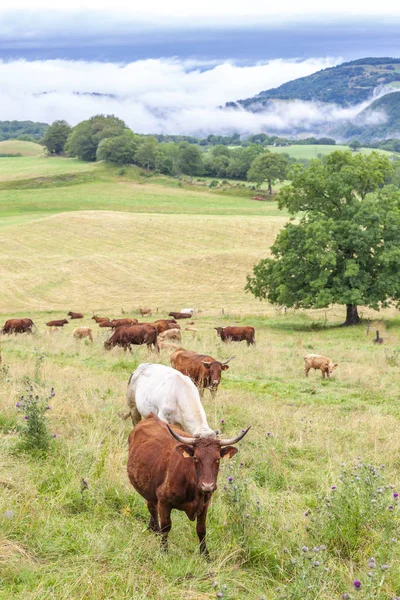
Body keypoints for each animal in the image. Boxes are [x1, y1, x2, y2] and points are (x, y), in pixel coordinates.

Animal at [126, 412, 248, 556]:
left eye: (217, 459)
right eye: (195, 458)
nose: (207, 486)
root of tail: (151, 416)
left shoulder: (204, 505)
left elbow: (201, 530)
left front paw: (205, 555)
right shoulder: (164, 501)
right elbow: (166, 527)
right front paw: (164, 551)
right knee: (152, 509)